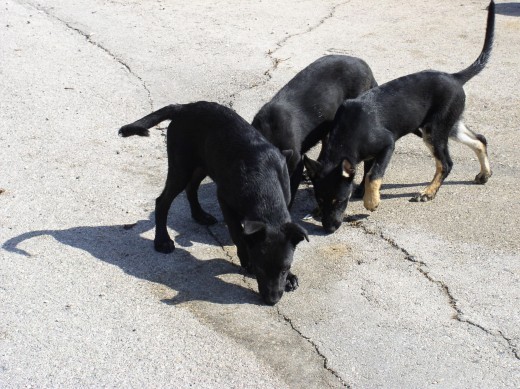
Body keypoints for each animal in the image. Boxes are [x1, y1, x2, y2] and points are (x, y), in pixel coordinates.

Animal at [119, 102, 308, 304]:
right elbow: (237, 233)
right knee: (162, 201)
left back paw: (199, 215)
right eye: (260, 268)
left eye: (285, 268)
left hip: (204, 163)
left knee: (191, 188)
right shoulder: (224, 199)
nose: (272, 301)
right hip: (181, 167)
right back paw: (162, 240)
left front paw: (289, 278)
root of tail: (184, 107)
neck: (267, 195)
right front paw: (246, 259)